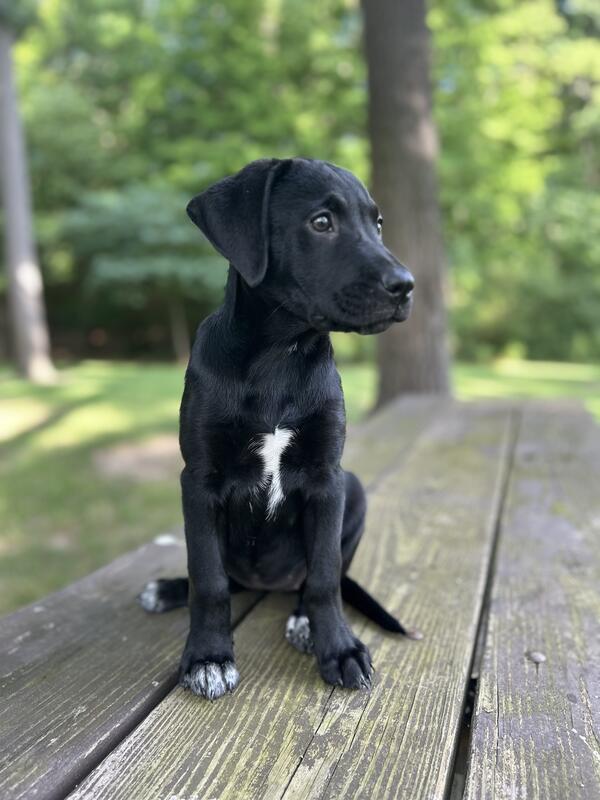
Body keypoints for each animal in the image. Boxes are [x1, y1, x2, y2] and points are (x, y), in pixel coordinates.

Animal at [139, 157, 416, 701]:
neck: (278, 357)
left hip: (353, 488)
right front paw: (209, 657)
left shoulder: (328, 478)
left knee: (314, 577)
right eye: (321, 222)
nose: (406, 285)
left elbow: (326, 576)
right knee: (226, 579)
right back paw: (168, 589)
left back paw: (304, 620)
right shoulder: (199, 480)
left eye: (376, 224)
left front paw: (339, 649)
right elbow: (208, 579)